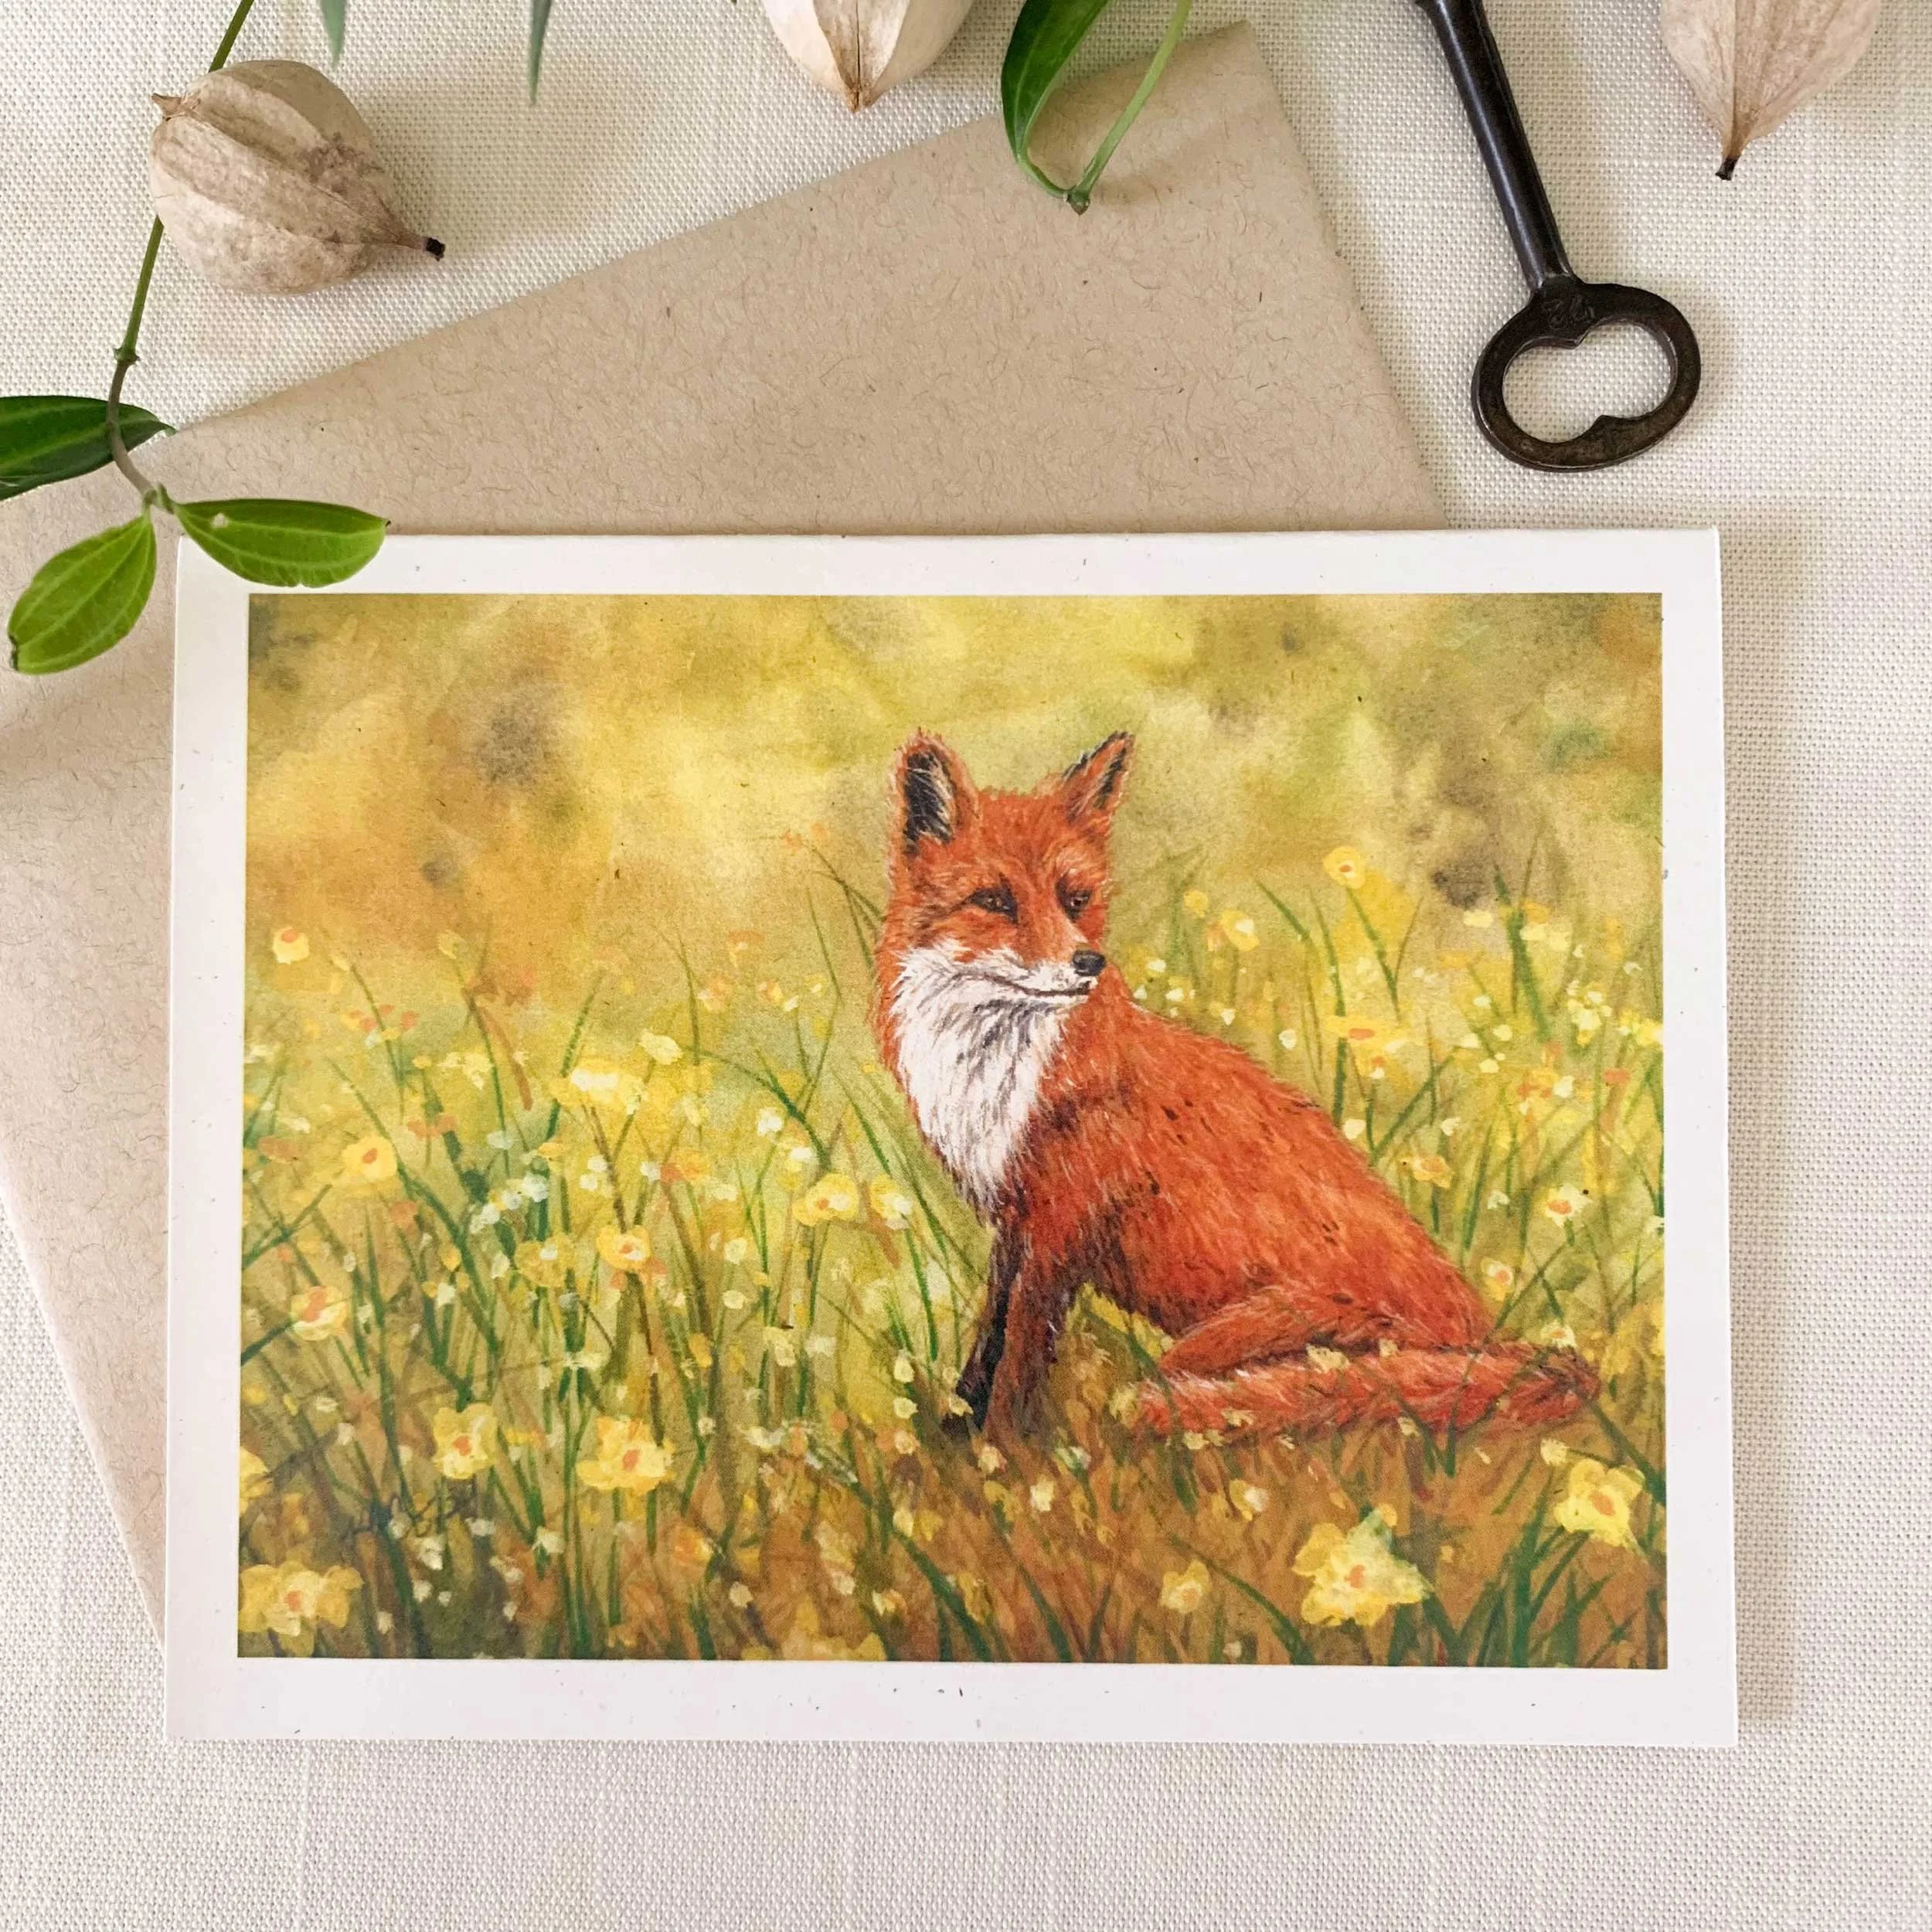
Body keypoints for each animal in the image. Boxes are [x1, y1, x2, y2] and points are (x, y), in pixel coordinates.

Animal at [871, 728, 1598, 1442]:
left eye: (1075, 900)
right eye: (994, 901)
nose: (1087, 963)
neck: (995, 1079)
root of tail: (1488, 1342)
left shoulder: (1061, 1225)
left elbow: (1019, 1357)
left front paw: (1005, 1452)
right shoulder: (1014, 1222)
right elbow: (987, 1343)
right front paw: (956, 1435)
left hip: (1232, 1337)